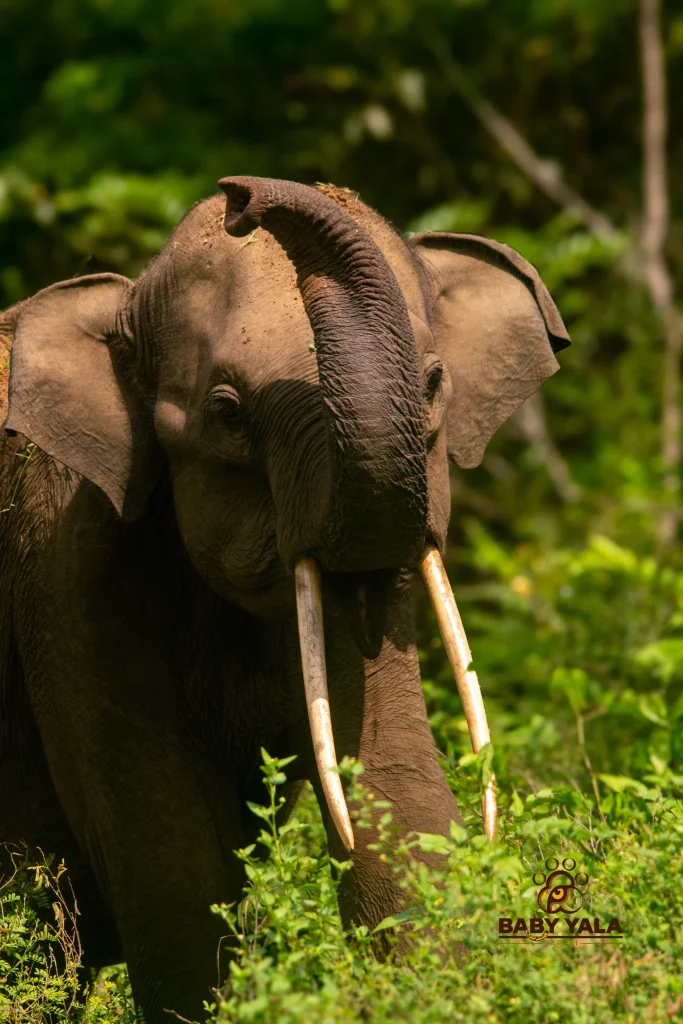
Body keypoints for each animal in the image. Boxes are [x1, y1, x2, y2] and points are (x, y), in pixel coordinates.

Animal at [0, 177, 569, 1022]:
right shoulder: (76, 570)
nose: (241, 195)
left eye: (433, 384)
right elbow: (169, 849)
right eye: (227, 413)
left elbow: (394, 796)